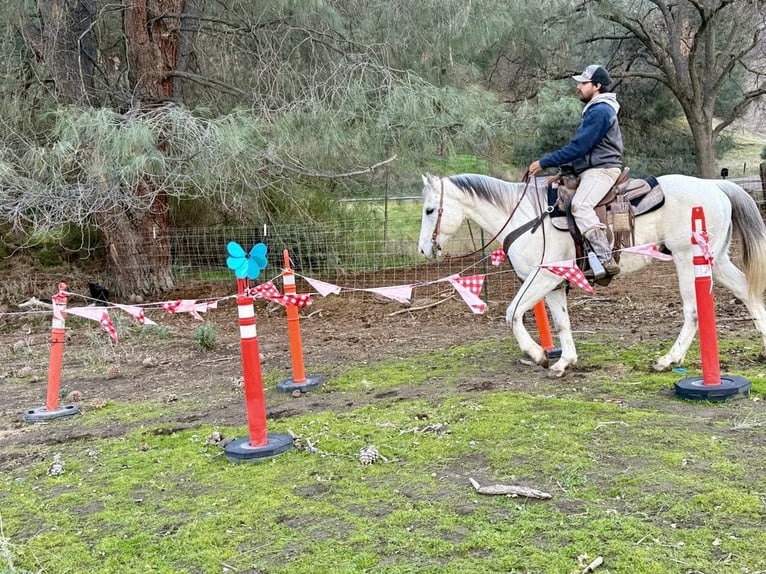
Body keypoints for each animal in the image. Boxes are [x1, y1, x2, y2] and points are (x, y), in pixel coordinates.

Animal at [417, 173, 766, 377]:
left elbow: (512, 313)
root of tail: (715, 185)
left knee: (693, 311)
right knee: (747, 293)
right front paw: (563, 362)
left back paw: (668, 360)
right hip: (716, 260)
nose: (423, 249)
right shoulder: (555, 283)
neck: (527, 218)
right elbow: (561, 322)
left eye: (429, 210)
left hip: (687, 261)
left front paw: (537, 354)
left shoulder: (542, 277)